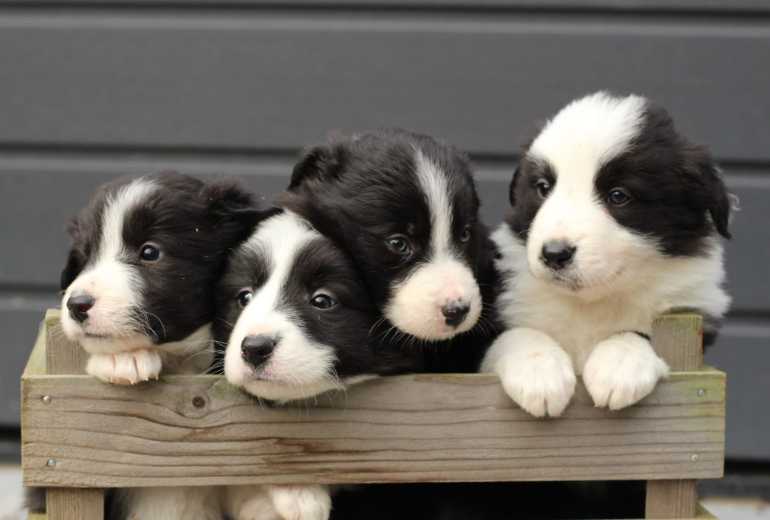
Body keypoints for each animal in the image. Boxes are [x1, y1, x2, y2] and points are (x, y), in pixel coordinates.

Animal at [484, 92, 728, 418]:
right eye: (543, 187)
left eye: (618, 196)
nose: (554, 253)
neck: (590, 304)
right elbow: (516, 334)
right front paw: (539, 373)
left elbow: (640, 334)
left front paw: (619, 365)